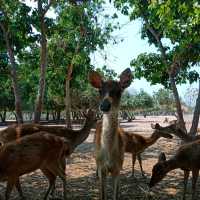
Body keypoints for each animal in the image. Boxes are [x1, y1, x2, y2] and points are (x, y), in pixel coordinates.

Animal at [89, 68, 133, 199]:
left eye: (119, 91)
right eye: (100, 90)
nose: (104, 105)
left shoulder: (118, 167)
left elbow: (115, 194)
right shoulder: (102, 167)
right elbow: (102, 195)